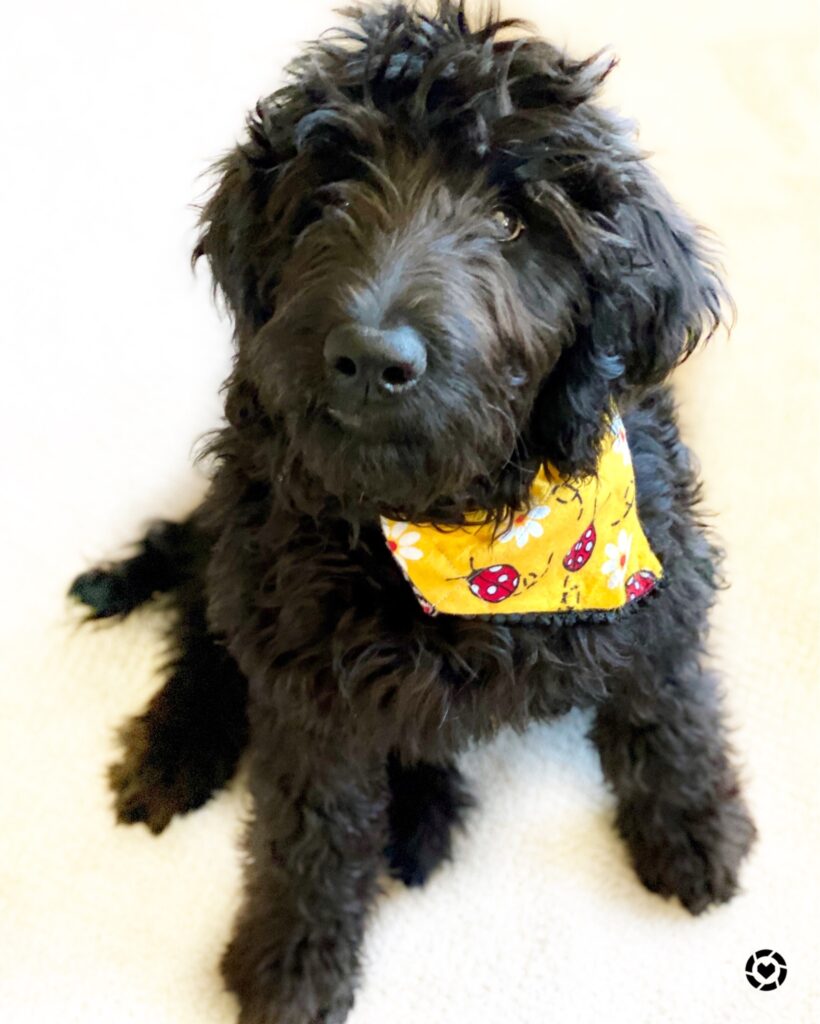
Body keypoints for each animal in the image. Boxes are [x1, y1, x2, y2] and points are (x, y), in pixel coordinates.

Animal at [70, 4, 753, 1019]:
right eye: (327, 200)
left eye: (513, 221)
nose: (369, 356)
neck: (466, 527)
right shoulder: (304, 672)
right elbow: (309, 833)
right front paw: (292, 961)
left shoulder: (657, 584)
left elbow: (669, 708)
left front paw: (694, 828)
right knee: (203, 621)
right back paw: (177, 748)